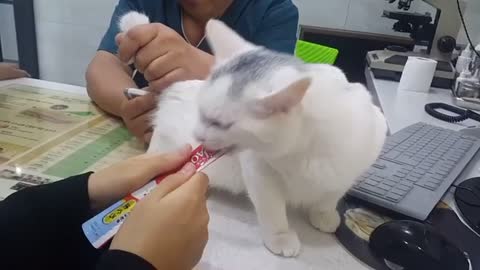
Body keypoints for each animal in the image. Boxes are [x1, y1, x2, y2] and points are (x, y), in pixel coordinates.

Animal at [144, 19, 388, 258]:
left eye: (220, 124)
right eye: (200, 110)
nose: (197, 134)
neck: (303, 152)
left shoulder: (349, 171)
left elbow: (330, 197)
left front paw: (324, 214)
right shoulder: (259, 172)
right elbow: (273, 210)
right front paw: (280, 237)